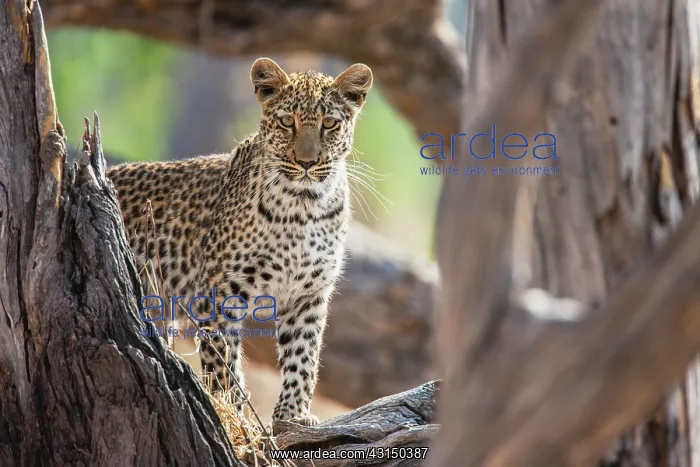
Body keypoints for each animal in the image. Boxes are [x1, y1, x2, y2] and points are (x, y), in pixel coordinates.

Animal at [106, 58, 373, 427]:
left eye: (329, 124)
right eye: (287, 122)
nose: (307, 162)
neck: (304, 206)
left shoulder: (308, 294)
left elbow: (303, 354)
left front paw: (293, 415)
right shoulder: (218, 293)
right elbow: (223, 362)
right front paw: (235, 419)